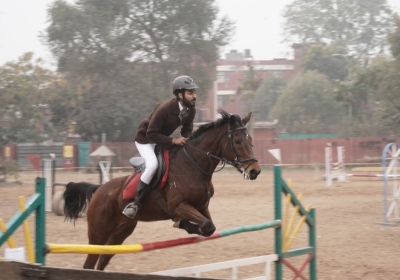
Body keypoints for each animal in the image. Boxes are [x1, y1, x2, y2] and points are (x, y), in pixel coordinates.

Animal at [62, 110, 260, 272]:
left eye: (251, 140)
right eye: (238, 141)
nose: (255, 171)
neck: (193, 165)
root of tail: (99, 190)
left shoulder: (201, 207)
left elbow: (209, 227)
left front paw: (183, 224)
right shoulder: (177, 205)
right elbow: (206, 225)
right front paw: (181, 223)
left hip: (121, 232)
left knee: (103, 259)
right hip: (99, 233)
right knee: (90, 262)